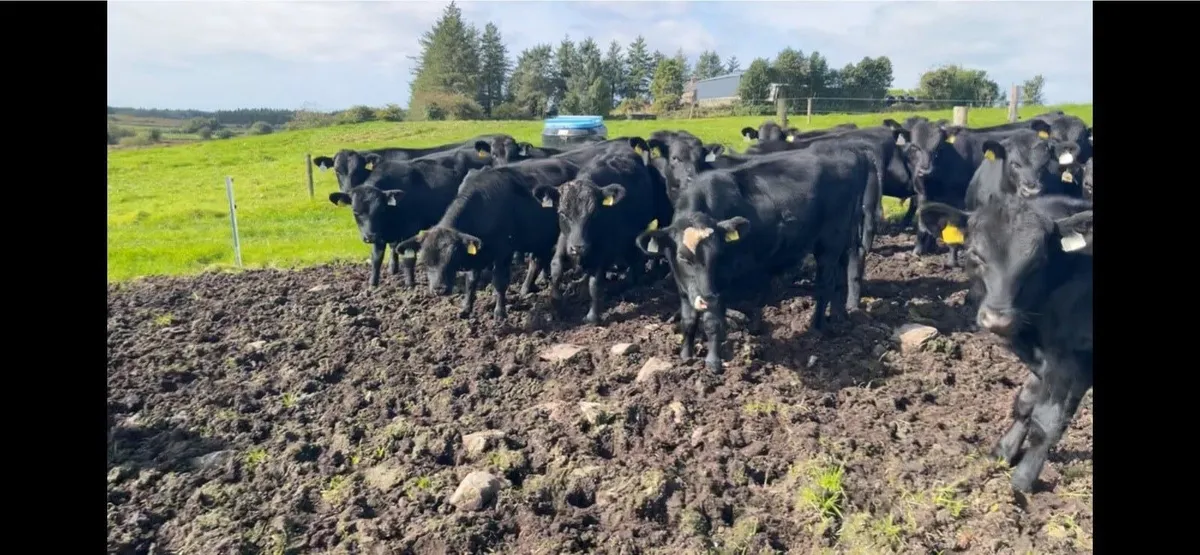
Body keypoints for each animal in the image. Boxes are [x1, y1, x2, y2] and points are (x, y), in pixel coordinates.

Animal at [326, 149, 494, 288]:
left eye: (380, 209)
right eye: (355, 211)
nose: (369, 236)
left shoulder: (409, 230)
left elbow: (408, 259)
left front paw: (410, 284)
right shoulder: (380, 235)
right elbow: (376, 258)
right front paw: (372, 284)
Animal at [393, 160, 568, 319]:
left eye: (452, 258)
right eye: (425, 260)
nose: (439, 289)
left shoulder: (503, 252)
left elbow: (499, 281)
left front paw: (499, 313)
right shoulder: (476, 252)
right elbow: (471, 281)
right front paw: (466, 308)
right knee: (538, 259)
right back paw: (529, 288)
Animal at [531, 147, 660, 325]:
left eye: (594, 213)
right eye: (562, 213)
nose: (578, 247)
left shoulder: (603, 250)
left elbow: (595, 284)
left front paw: (592, 316)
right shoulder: (564, 240)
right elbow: (556, 269)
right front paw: (557, 307)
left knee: (635, 258)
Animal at [634, 148, 869, 373]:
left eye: (718, 254)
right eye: (683, 256)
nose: (707, 297)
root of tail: (848, 153)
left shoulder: (721, 285)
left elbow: (712, 321)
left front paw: (713, 362)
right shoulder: (683, 287)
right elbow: (688, 320)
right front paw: (685, 357)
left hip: (829, 242)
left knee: (825, 284)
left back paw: (816, 327)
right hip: (841, 240)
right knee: (840, 273)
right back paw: (840, 317)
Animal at [916, 194, 1092, 492]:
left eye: (1037, 261)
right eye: (976, 254)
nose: (998, 319)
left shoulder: (1069, 360)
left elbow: (1047, 420)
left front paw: (1022, 482)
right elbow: (1025, 404)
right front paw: (1002, 452)